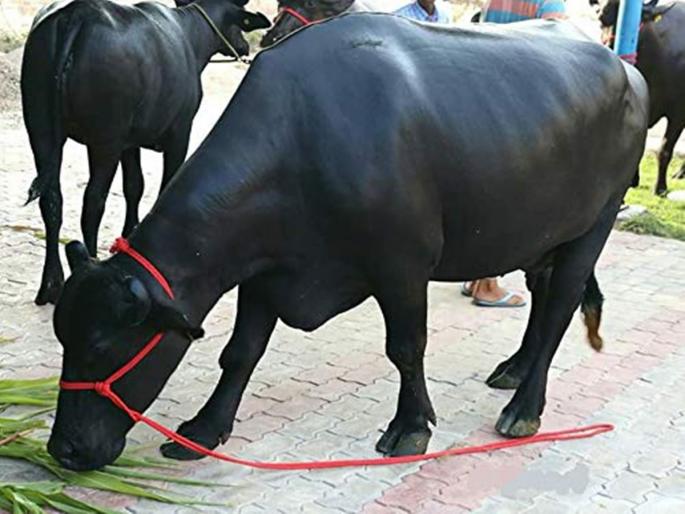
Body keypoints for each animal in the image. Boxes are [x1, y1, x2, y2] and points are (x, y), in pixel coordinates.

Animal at [22, 0, 270, 306]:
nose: (245, 47)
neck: (190, 36)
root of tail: (77, 14)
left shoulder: (130, 143)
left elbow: (134, 186)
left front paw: (130, 233)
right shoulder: (179, 133)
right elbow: (166, 184)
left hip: (41, 131)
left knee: (52, 200)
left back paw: (51, 285)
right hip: (105, 140)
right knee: (93, 202)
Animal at [48, 16, 647, 471]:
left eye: (102, 347)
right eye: (63, 340)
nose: (63, 449)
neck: (304, 144)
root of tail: (626, 70)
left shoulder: (403, 266)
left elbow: (406, 348)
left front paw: (410, 427)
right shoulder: (265, 270)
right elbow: (240, 352)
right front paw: (203, 428)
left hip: (592, 228)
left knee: (560, 309)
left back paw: (524, 408)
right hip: (538, 234)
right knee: (543, 299)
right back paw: (514, 370)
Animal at [591, 0, 685, 195]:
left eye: (638, 23)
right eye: (601, 18)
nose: (609, 46)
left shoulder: (678, 113)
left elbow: (665, 148)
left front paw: (660, 187)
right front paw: (633, 180)